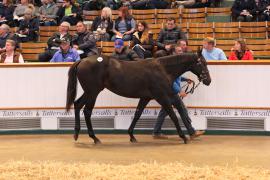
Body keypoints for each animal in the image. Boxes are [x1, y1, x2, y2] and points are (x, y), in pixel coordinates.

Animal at [65, 49, 211, 145]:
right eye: (202, 63)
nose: (208, 80)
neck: (162, 69)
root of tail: (82, 60)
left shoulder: (146, 97)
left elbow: (137, 114)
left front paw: (131, 136)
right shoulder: (161, 96)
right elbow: (173, 115)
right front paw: (183, 137)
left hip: (90, 92)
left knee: (77, 104)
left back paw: (77, 134)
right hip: (93, 92)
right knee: (86, 111)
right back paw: (94, 138)